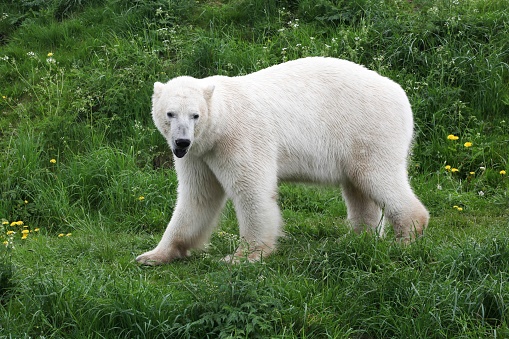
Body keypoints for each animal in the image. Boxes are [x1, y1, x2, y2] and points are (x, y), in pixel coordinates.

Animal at [136, 56, 428, 266]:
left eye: (195, 115)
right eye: (170, 113)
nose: (181, 142)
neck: (222, 121)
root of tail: (400, 93)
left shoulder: (239, 138)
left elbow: (251, 191)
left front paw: (242, 257)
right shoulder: (201, 154)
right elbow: (197, 197)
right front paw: (153, 255)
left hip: (368, 128)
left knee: (377, 176)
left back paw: (405, 238)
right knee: (359, 189)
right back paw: (356, 240)